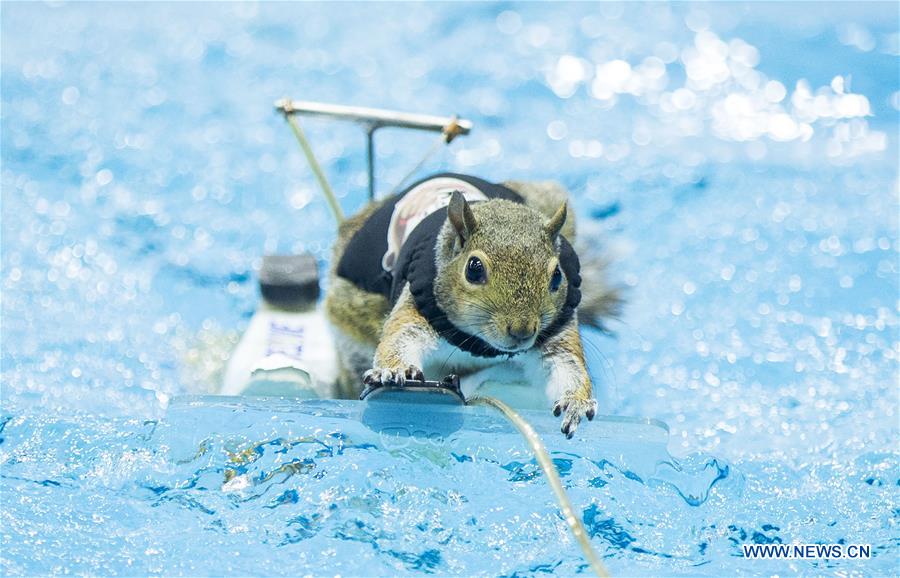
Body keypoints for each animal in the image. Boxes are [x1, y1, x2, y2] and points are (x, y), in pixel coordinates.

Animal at [326, 173, 620, 437]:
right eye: (474, 268)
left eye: (558, 275)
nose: (522, 331)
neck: (482, 346)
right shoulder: (417, 308)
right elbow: (401, 337)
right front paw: (395, 369)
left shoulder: (556, 331)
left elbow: (565, 365)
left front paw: (576, 401)